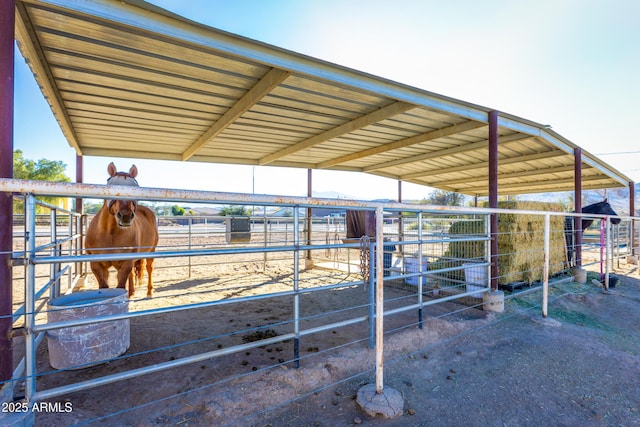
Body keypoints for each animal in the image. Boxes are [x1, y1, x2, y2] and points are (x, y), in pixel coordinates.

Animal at [85, 164, 159, 298]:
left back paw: (149, 292)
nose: (125, 216)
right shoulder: (97, 265)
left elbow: (121, 284)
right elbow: (104, 286)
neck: (109, 233)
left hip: (151, 251)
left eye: (135, 189)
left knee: (149, 268)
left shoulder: (126, 263)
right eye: (111, 187)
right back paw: (131, 292)